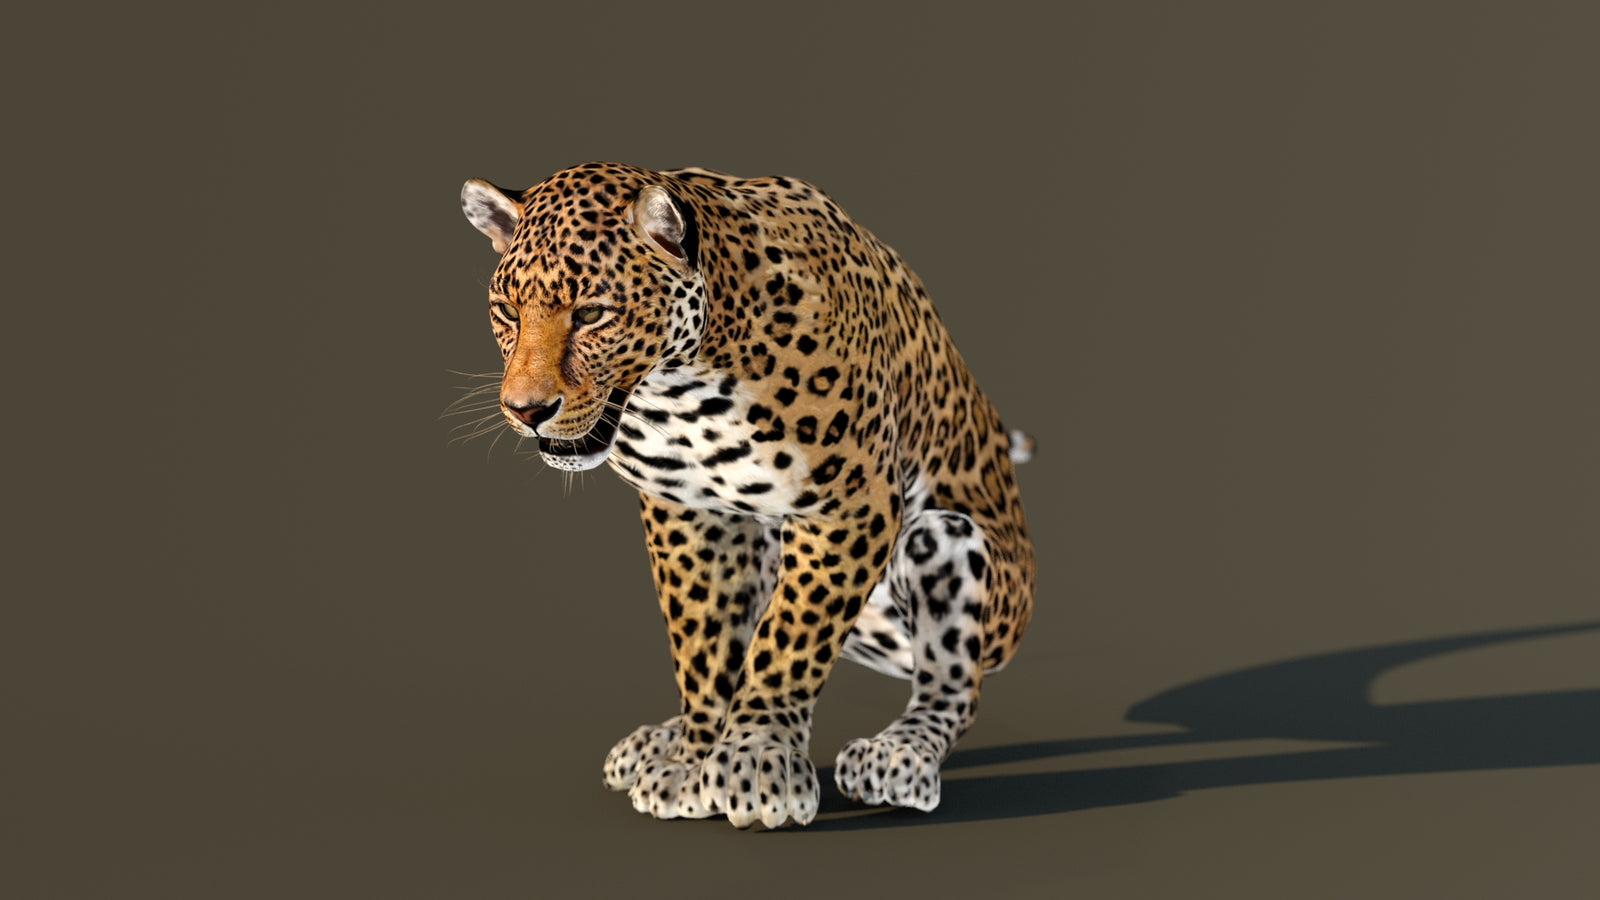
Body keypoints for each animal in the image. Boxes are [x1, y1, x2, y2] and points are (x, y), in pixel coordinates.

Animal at [458, 162, 1036, 828]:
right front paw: (692, 758)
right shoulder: (693, 513)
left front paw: (757, 757)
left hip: (945, 540)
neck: (683, 389)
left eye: (593, 313)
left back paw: (899, 755)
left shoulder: (851, 501)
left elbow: (790, 635)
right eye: (507, 310)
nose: (525, 411)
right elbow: (705, 642)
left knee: (953, 683)